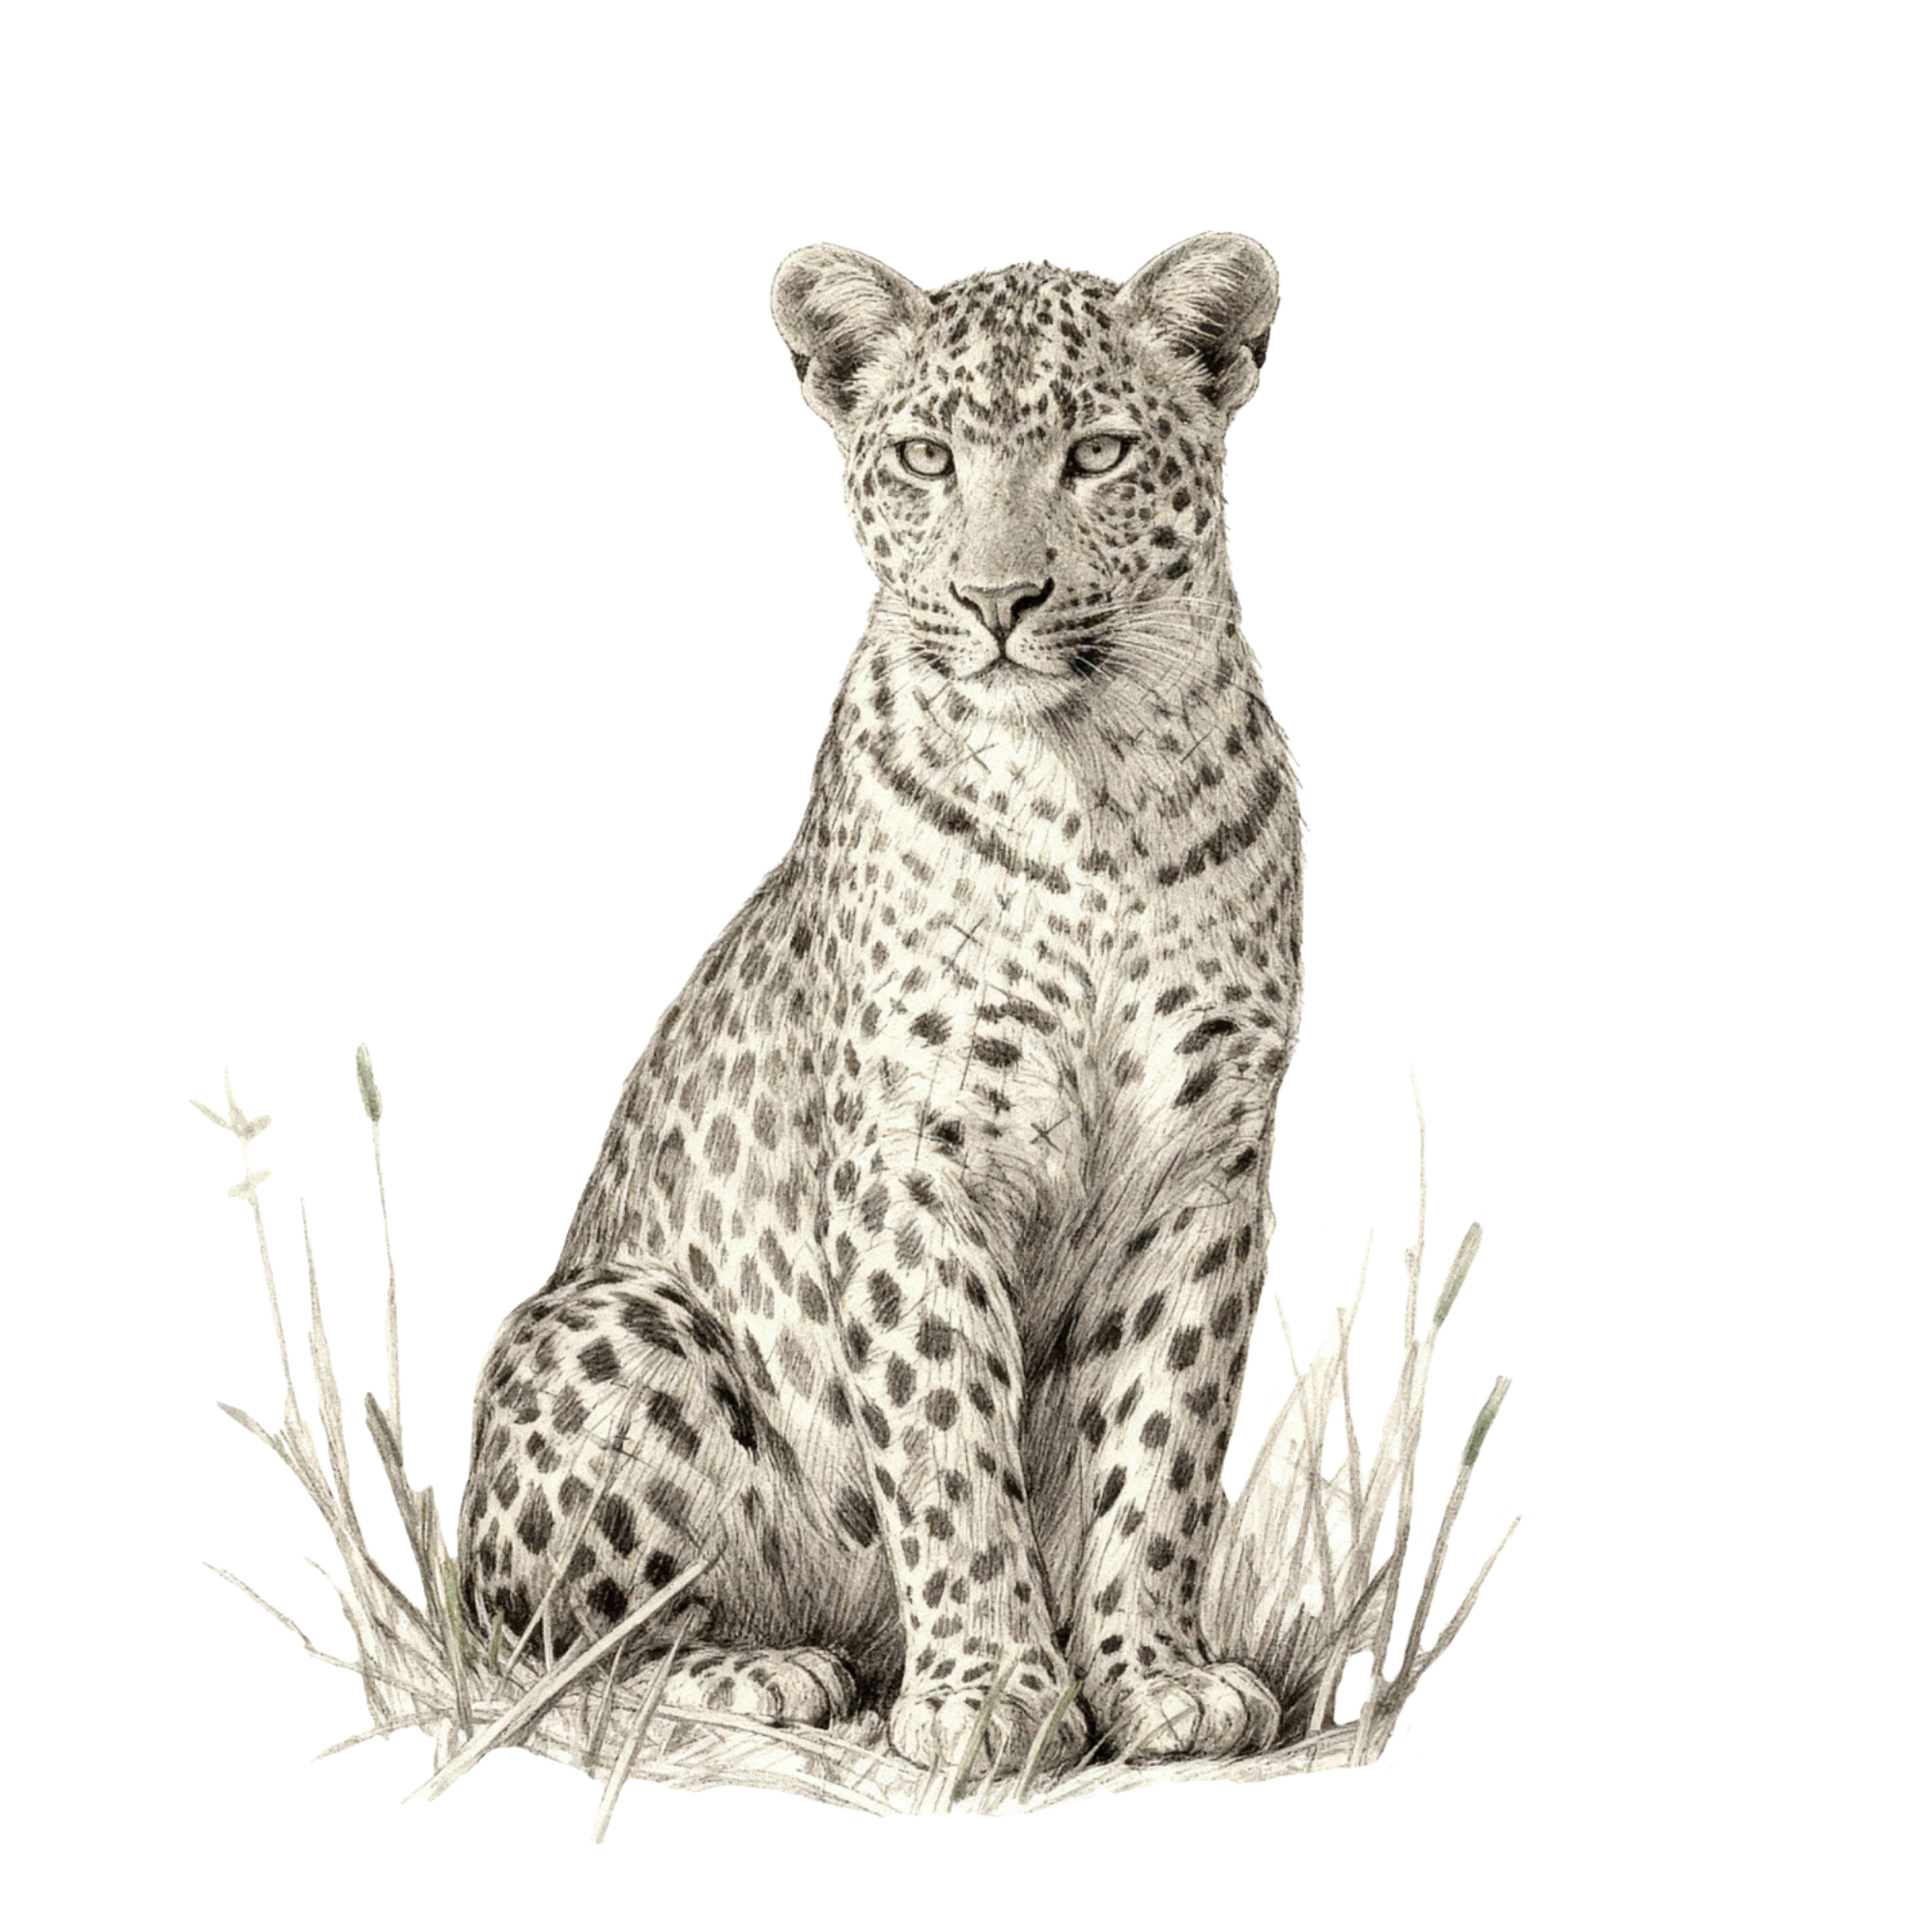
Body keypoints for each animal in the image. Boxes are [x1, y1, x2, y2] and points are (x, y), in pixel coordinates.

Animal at [456, 231, 1308, 1775]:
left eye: (1096, 452)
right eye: (923, 456)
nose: (998, 601)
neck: (1087, 787)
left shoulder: (1199, 1170)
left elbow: (1157, 1444)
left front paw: (1154, 1680)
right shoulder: (913, 1159)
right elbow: (946, 1439)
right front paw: (992, 1697)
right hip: (620, 1324)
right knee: (552, 1652)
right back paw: (766, 1672)